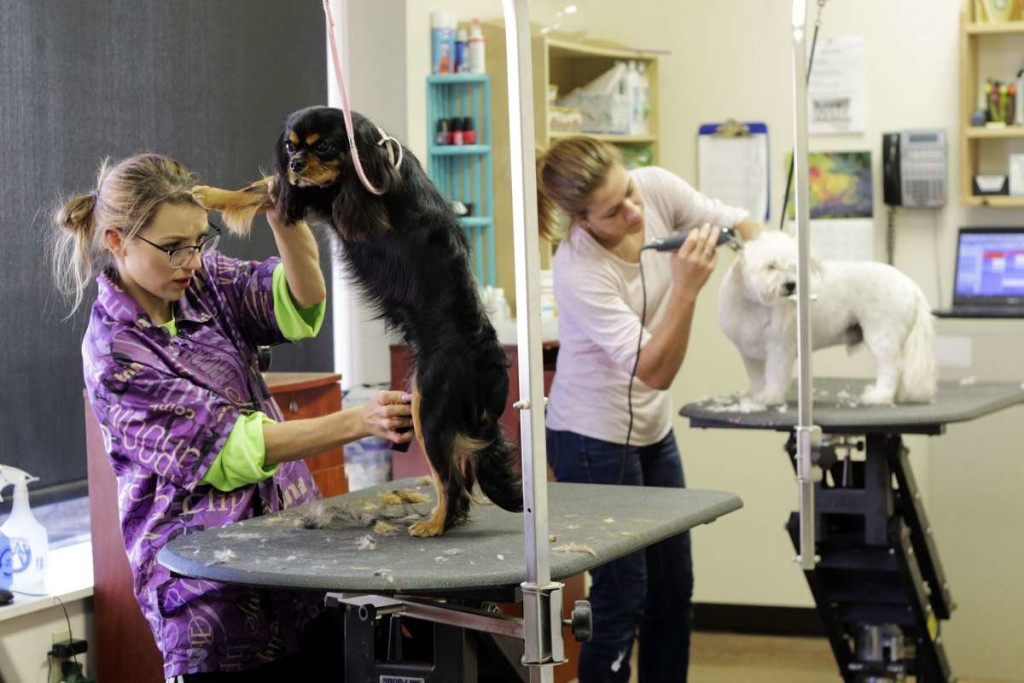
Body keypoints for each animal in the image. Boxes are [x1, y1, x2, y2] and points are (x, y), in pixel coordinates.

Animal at [192, 107, 524, 536]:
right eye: (290, 148)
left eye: (324, 148)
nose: (296, 165)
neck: (372, 155)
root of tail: (488, 362)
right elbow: (266, 185)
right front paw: (215, 191)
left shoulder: (332, 198)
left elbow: (270, 188)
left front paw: (209, 194)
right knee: (459, 474)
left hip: (428, 405)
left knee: (450, 478)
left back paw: (434, 524)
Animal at [720, 232, 937, 409]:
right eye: (771, 266)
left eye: (795, 267)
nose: (790, 284)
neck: (755, 305)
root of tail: (910, 285)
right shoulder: (750, 353)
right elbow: (757, 378)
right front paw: (757, 396)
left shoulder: (779, 347)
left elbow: (775, 375)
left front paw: (771, 397)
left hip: (882, 333)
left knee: (892, 367)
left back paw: (879, 396)